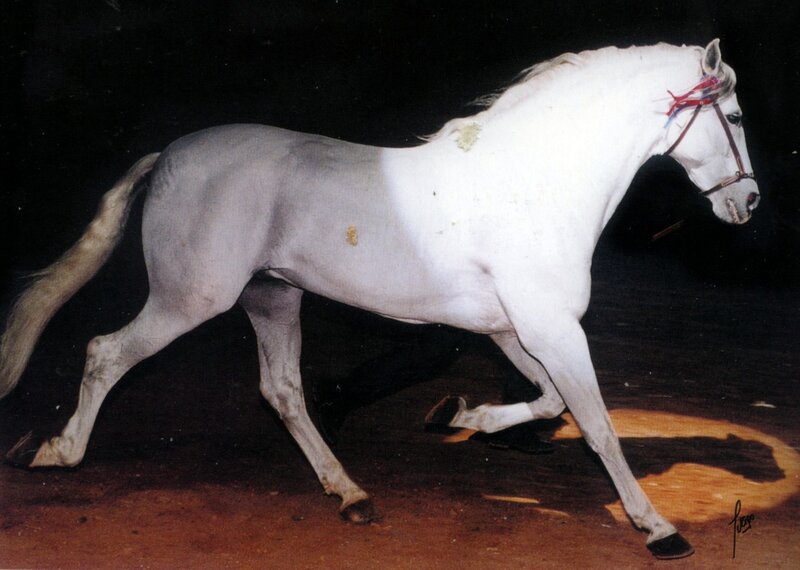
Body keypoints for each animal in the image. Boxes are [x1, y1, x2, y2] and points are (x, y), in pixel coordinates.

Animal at [1, 40, 759, 559]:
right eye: (736, 114)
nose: (748, 202)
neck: (534, 182)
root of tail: (168, 155)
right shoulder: (552, 329)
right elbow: (596, 424)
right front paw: (659, 529)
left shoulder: (515, 331)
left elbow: (548, 403)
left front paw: (458, 414)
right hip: (193, 298)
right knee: (106, 353)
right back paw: (55, 453)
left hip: (272, 299)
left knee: (282, 392)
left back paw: (350, 493)